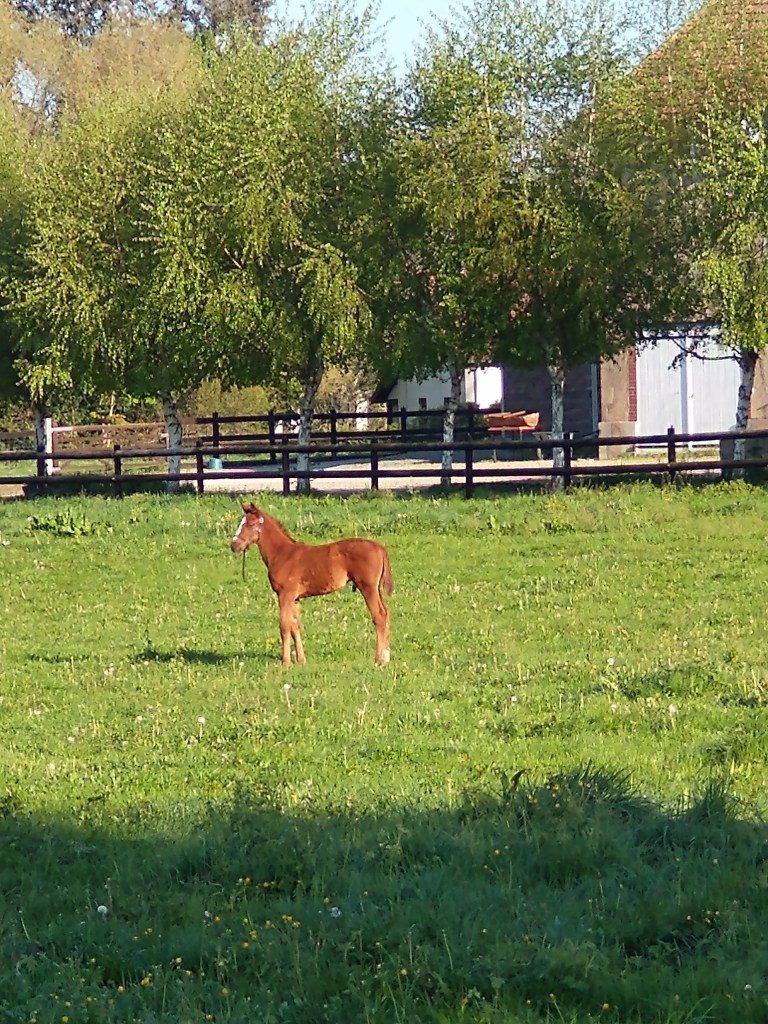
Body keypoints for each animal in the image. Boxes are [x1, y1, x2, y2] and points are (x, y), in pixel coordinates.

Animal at [231, 503, 393, 667]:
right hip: (375, 589)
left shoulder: (284, 595)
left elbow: (284, 626)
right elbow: (295, 626)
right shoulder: (295, 598)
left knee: (379, 616)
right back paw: (386, 657)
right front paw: (301, 660)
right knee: (385, 613)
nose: (234, 545)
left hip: (368, 587)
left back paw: (380, 660)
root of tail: (379, 547)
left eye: (250, 524)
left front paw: (286, 662)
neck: (282, 554)